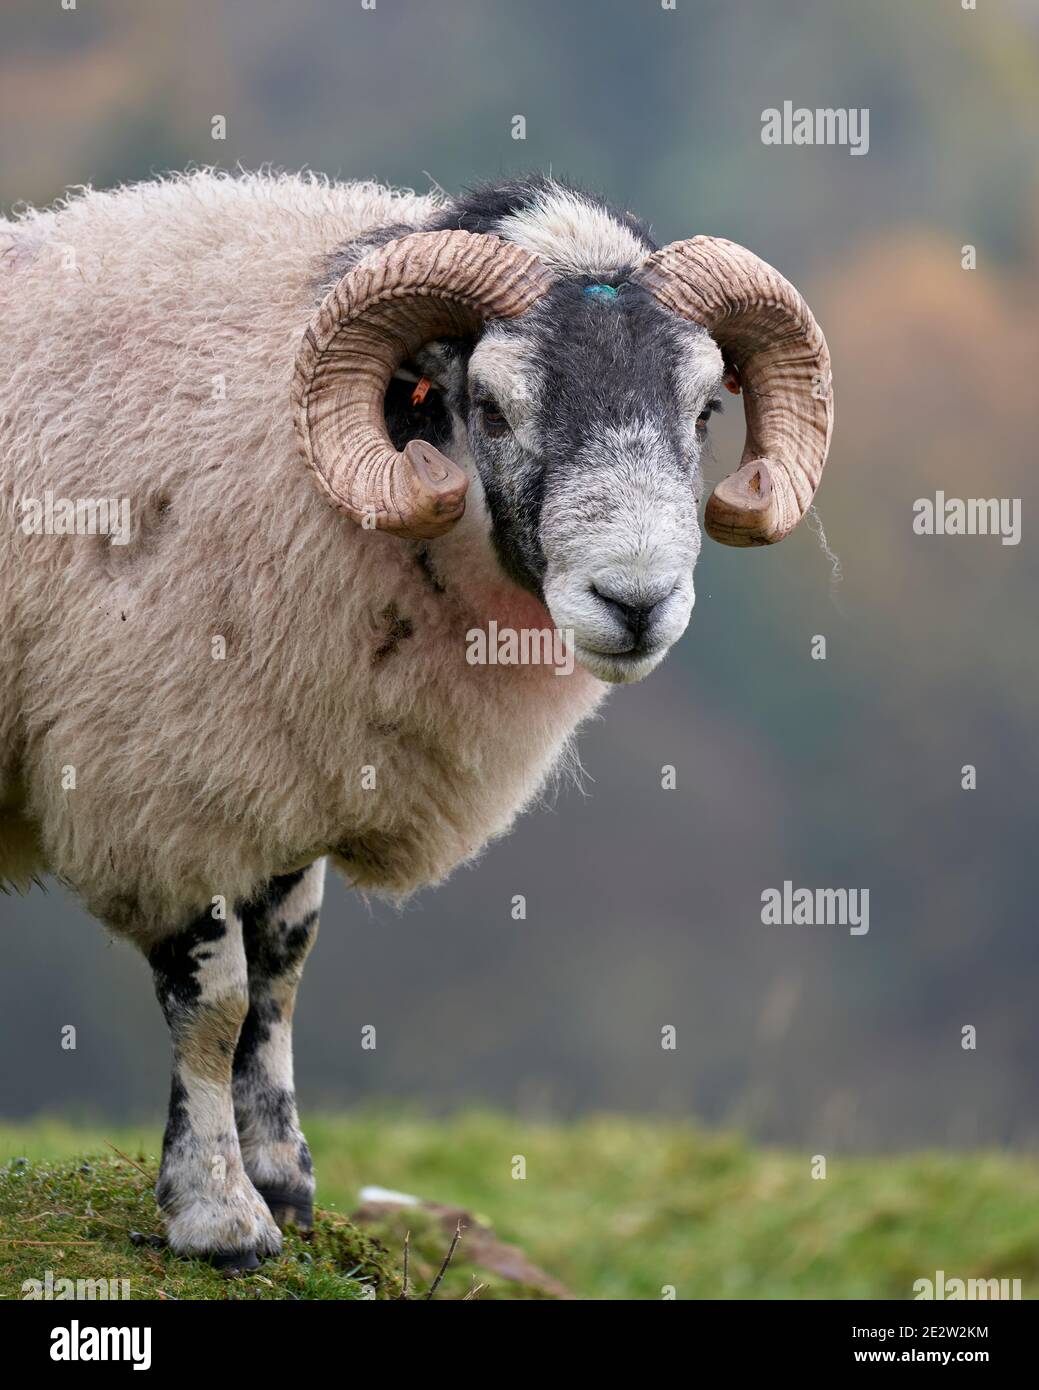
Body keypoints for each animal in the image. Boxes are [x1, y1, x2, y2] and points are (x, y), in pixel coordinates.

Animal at [0, 168, 834, 1267]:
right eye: (489, 407)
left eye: (703, 411)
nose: (636, 600)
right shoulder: (161, 780)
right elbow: (214, 1004)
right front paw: (218, 1214)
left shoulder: (283, 758)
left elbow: (280, 973)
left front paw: (285, 1184)